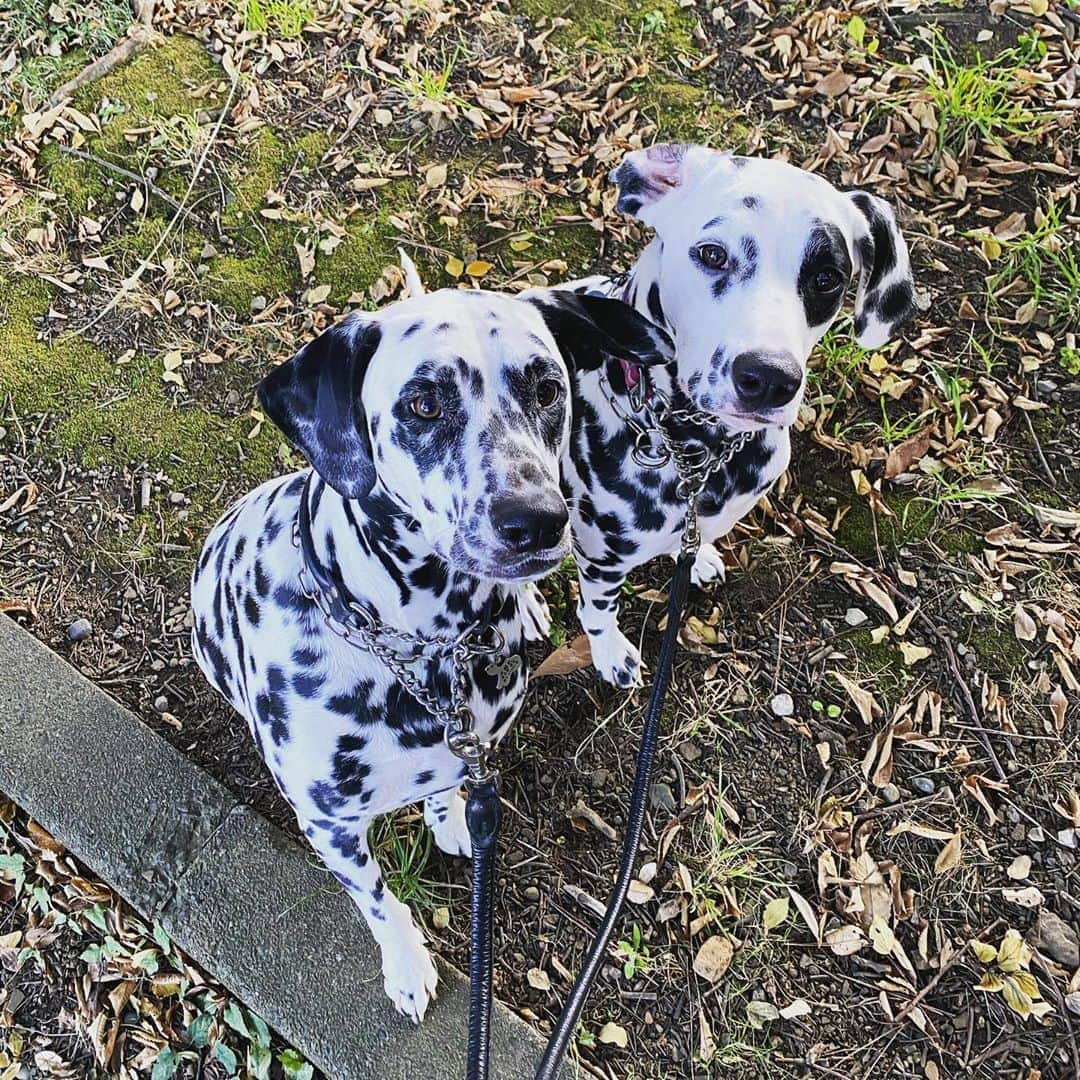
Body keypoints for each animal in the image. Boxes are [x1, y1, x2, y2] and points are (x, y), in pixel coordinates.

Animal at [189, 278, 669, 1019]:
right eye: (423, 403)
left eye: (547, 388)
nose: (537, 522)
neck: (423, 651)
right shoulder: (329, 827)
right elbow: (381, 905)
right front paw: (408, 966)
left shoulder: (471, 747)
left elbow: (448, 786)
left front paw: (449, 819)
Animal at [557, 143, 920, 686]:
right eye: (713, 253)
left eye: (827, 278)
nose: (768, 378)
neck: (697, 449)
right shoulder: (601, 557)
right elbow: (599, 610)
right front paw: (609, 651)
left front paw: (696, 557)